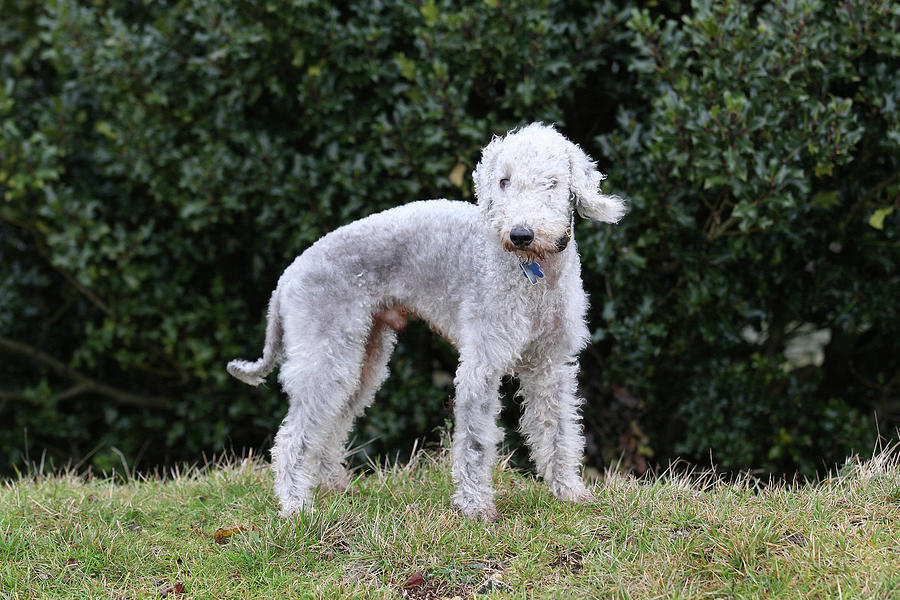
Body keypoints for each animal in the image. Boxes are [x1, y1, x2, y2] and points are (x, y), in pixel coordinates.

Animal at [229, 123, 624, 520]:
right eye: (503, 180)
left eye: (552, 182)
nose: (520, 234)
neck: (533, 276)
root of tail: (287, 276)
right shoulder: (482, 361)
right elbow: (476, 439)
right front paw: (475, 507)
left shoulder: (550, 363)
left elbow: (558, 427)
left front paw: (569, 492)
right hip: (325, 352)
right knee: (292, 436)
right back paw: (296, 506)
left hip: (363, 356)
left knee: (332, 423)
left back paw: (335, 487)